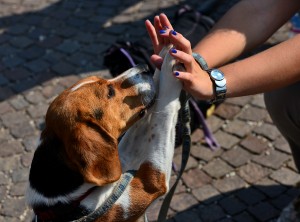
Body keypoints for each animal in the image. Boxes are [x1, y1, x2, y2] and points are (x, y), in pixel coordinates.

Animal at [27, 46, 182, 221]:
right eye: (110, 92)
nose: (144, 67)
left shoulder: (118, 162)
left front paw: (162, 55)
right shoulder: (151, 182)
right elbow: (164, 111)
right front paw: (170, 60)